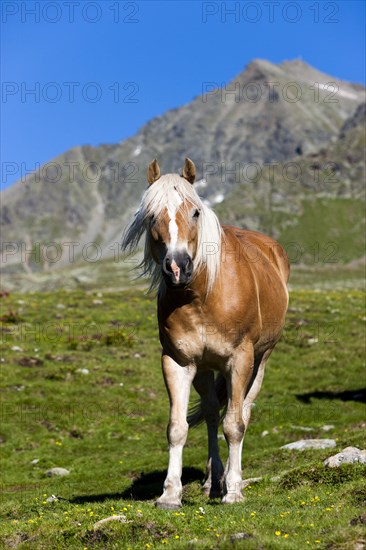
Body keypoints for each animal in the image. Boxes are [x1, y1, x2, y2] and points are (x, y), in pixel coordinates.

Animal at [121, 158, 290, 508]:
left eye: (195, 212)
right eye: (151, 215)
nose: (177, 267)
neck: (202, 297)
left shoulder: (240, 360)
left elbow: (235, 425)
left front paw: (235, 491)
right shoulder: (178, 362)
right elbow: (177, 427)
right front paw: (170, 493)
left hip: (260, 360)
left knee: (243, 411)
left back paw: (230, 480)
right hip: (204, 369)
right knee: (213, 413)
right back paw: (214, 481)